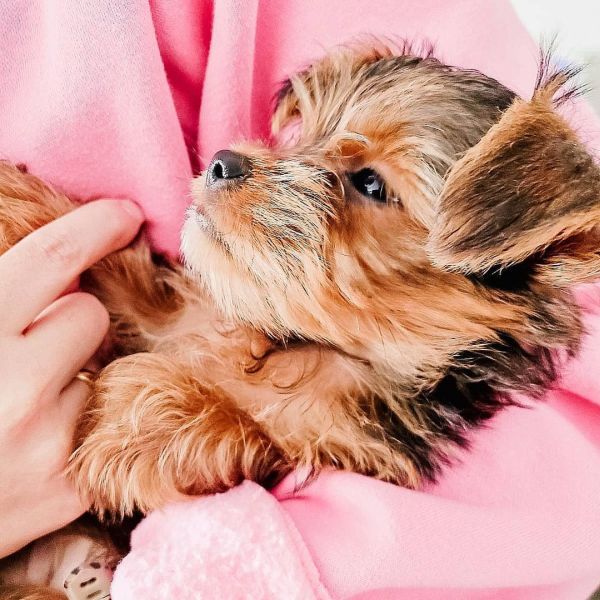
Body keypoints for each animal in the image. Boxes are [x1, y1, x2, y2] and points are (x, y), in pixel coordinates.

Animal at [1, 44, 600, 596]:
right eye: (304, 134)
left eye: (371, 184)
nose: (223, 161)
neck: (286, 339)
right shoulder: (170, 315)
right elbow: (122, 277)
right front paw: (17, 198)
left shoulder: (339, 442)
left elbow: (252, 430)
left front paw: (141, 424)